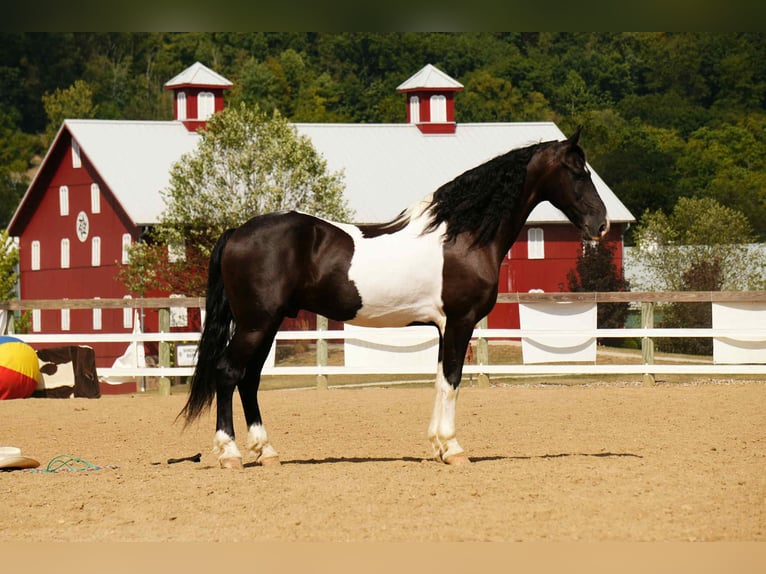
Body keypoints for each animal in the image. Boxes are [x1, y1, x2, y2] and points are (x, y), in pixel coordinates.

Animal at [180, 128, 610, 468]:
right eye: (578, 172)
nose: (601, 224)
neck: (462, 236)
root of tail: (237, 231)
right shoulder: (460, 322)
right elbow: (453, 381)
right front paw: (453, 449)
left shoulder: (444, 327)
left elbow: (439, 380)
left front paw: (438, 446)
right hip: (256, 323)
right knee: (228, 372)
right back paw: (231, 454)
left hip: (266, 324)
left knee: (249, 379)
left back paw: (267, 452)